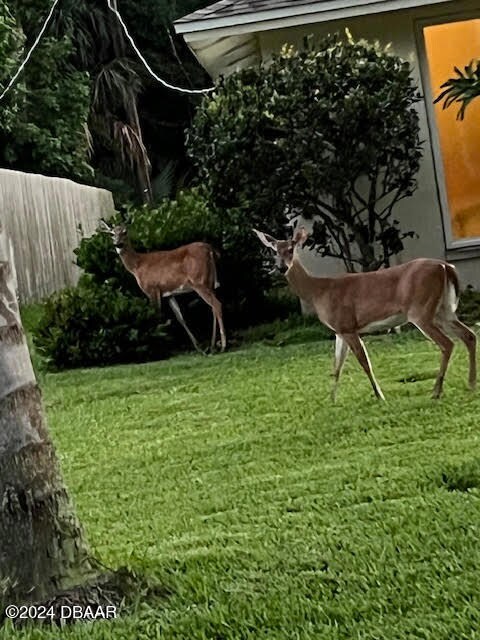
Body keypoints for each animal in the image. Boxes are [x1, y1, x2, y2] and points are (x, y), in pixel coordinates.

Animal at [100, 221, 226, 354]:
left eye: (125, 232)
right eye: (112, 233)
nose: (118, 244)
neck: (137, 266)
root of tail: (210, 249)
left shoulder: (152, 289)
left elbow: (156, 315)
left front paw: (160, 348)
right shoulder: (168, 293)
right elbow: (180, 317)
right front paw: (198, 347)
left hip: (199, 281)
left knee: (217, 304)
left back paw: (223, 345)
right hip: (208, 282)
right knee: (213, 307)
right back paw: (212, 345)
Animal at [254, 227, 476, 401]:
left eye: (291, 249)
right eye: (274, 251)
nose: (281, 267)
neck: (318, 291)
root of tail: (445, 266)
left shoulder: (347, 325)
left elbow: (364, 362)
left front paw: (379, 395)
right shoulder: (338, 330)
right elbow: (336, 366)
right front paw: (331, 399)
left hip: (421, 310)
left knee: (447, 343)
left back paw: (437, 391)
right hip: (443, 310)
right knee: (469, 335)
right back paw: (471, 383)